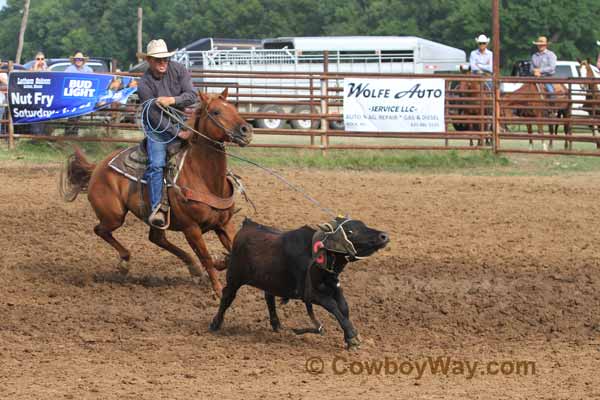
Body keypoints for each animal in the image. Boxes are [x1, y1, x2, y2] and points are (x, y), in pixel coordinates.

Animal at [58, 90, 251, 296]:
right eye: (216, 112)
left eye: (234, 108)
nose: (246, 130)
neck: (205, 178)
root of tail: (97, 167)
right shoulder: (191, 228)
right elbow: (205, 256)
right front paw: (217, 289)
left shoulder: (224, 224)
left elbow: (234, 252)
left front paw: (221, 263)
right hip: (113, 216)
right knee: (101, 230)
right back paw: (125, 263)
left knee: (157, 238)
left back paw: (193, 267)